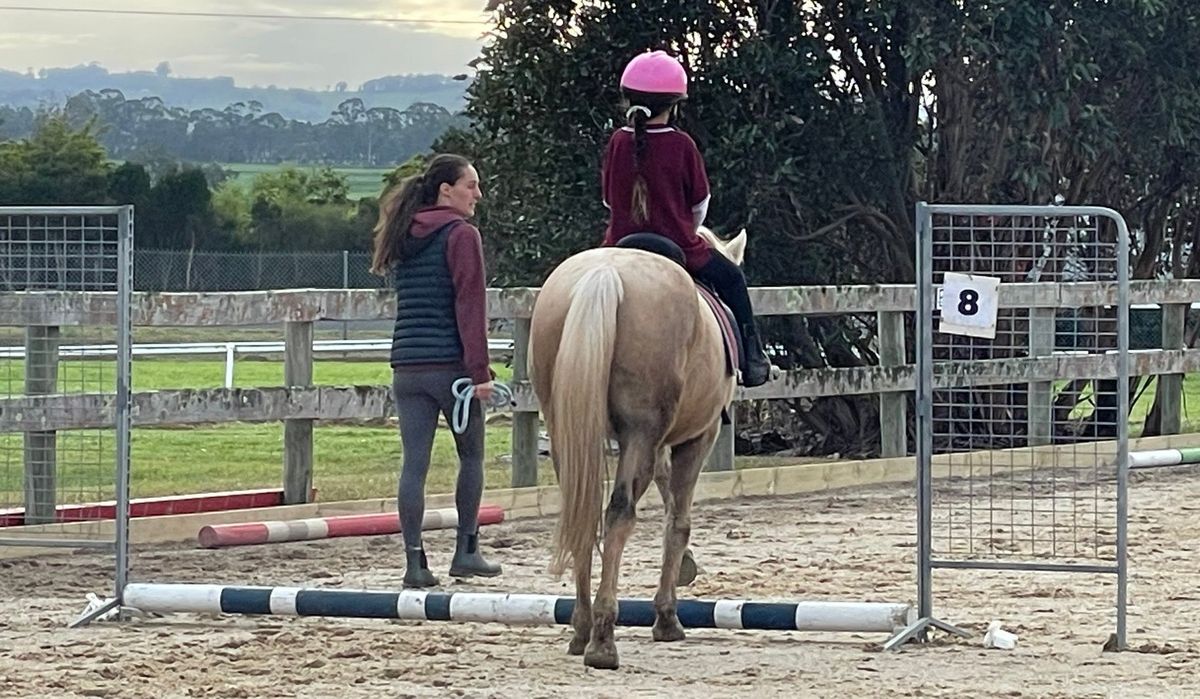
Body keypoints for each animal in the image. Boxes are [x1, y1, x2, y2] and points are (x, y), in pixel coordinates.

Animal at [530, 226, 744, 672]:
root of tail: (605, 274)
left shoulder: (657, 443)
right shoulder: (697, 437)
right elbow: (678, 522)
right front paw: (667, 617)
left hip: (566, 433)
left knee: (583, 512)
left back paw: (582, 629)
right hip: (640, 434)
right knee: (618, 514)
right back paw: (603, 641)